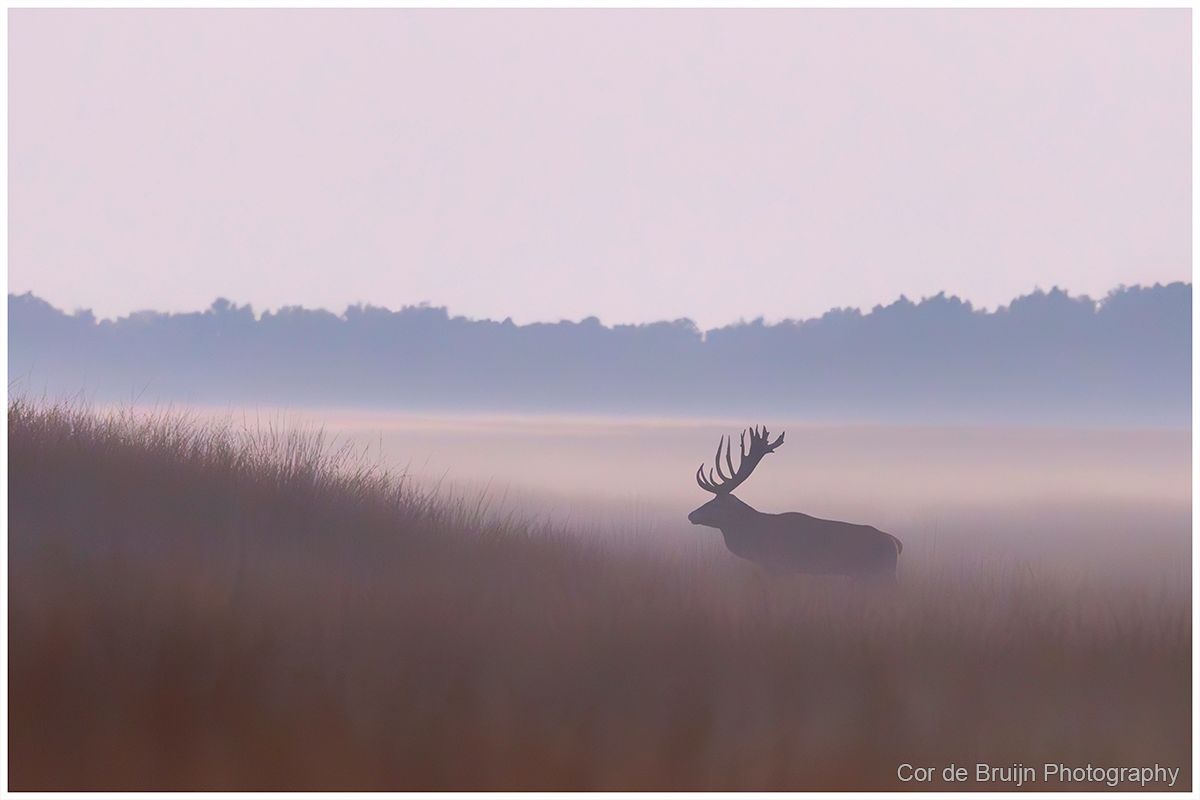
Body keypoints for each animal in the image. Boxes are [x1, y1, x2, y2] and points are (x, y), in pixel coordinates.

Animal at [688, 426, 902, 580]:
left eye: (716, 503)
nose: (691, 515)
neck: (756, 537)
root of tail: (896, 543)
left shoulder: (779, 564)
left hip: (879, 573)